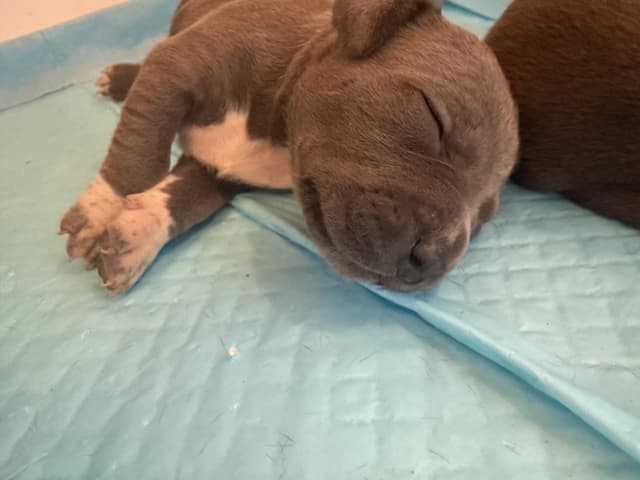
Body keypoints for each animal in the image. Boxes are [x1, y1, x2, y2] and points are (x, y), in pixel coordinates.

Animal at [59, 0, 518, 295]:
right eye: (432, 117)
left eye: (482, 219)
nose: (434, 259)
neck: (276, 132)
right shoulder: (178, 67)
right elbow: (140, 150)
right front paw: (100, 211)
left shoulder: (221, 172)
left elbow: (184, 200)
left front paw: (138, 234)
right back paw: (121, 77)